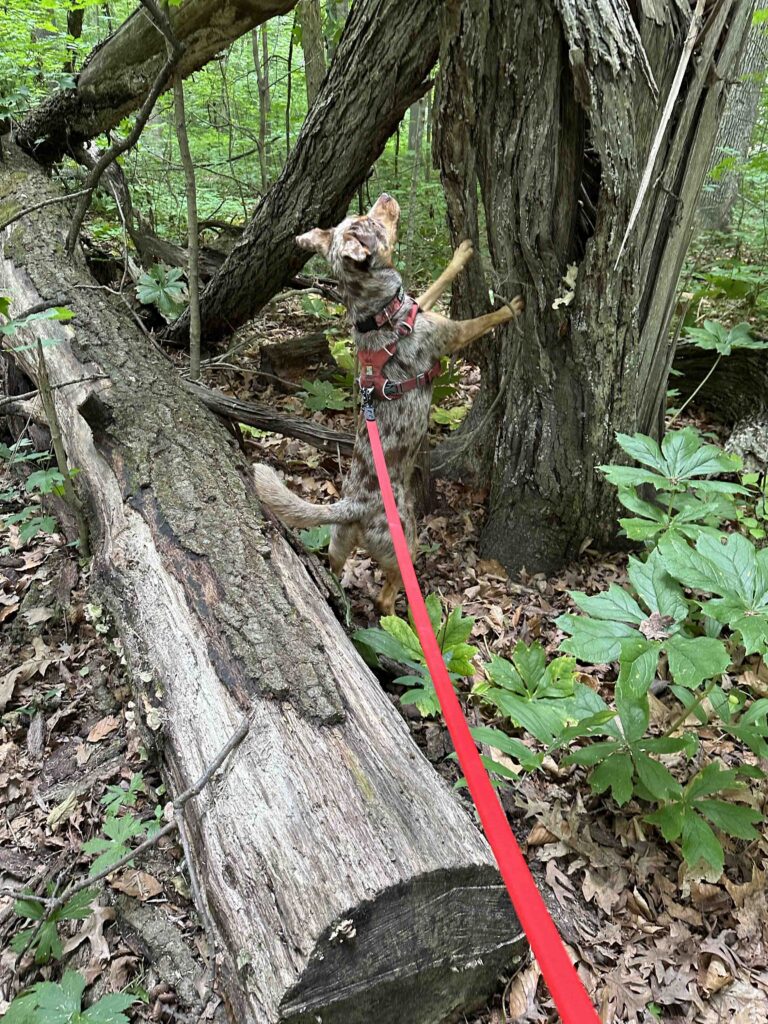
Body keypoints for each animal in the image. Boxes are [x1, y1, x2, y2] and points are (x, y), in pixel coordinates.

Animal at [256, 193, 528, 614]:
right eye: (371, 220)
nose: (384, 196)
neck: (379, 315)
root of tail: (354, 507)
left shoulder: (418, 305)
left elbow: (436, 282)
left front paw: (462, 253)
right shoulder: (452, 334)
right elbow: (484, 318)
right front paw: (512, 306)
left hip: (337, 544)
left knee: (335, 570)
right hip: (405, 547)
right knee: (385, 597)